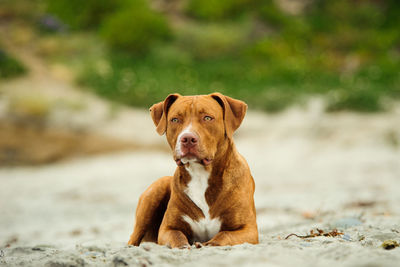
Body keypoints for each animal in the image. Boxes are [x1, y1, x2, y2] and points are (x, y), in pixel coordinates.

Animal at [128, 93, 260, 248]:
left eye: (207, 118)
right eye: (175, 120)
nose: (188, 138)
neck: (200, 174)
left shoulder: (248, 230)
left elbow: (223, 235)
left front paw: (208, 244)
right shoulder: (167, 228)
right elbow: (178, 237)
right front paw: (185, 245)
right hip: (155, 191)